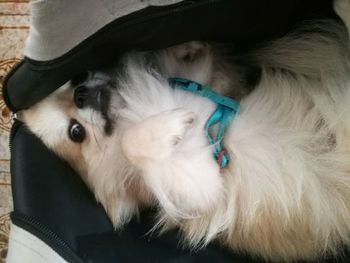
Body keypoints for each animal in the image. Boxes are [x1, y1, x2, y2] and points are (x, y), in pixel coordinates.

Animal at [19, 0, 350, 262]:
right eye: (76, 132)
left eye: (77, 79)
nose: (81, 94)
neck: (129, 110)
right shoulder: (206, 182)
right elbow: (132, 143)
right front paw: (172, 123)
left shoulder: (206, 86)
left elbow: (190, 67)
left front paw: (186, 47)